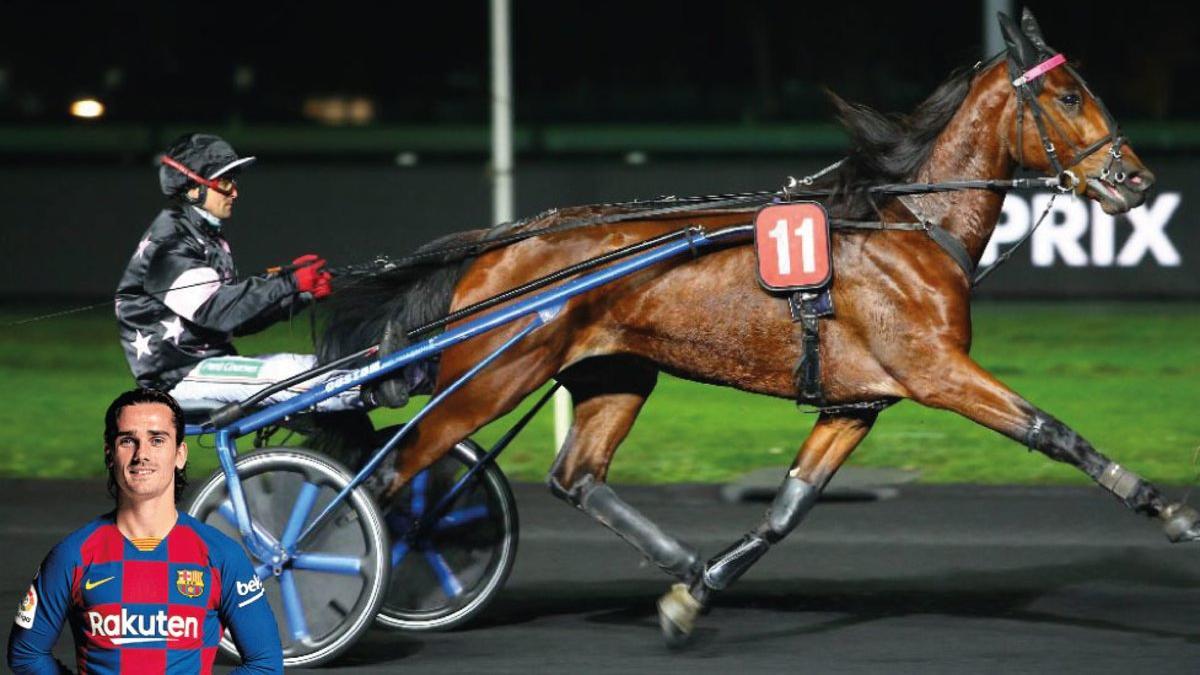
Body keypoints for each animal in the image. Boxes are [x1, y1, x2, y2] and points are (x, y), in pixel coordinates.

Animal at [319, 9, 1190, 638]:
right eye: (1070, 94)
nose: (1137, 179)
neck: (908, 227)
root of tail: (501, 243)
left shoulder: (856, 401)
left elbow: (788, 507)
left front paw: (693, 594)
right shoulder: (935, 369)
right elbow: (1053, 430)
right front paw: (1168, 509)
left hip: (614, 372)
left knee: (574, 474)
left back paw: (673, 558)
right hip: (495, 375)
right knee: (390, 477)